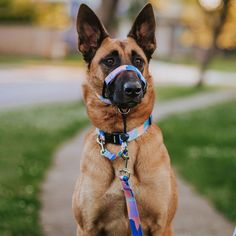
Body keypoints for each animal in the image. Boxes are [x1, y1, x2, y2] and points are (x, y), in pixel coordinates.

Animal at [73, 2, 178, 235]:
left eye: (138, 61)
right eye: (109, 61)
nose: (134, 89)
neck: (122, 137)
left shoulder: (162, 225)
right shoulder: (87, 227)